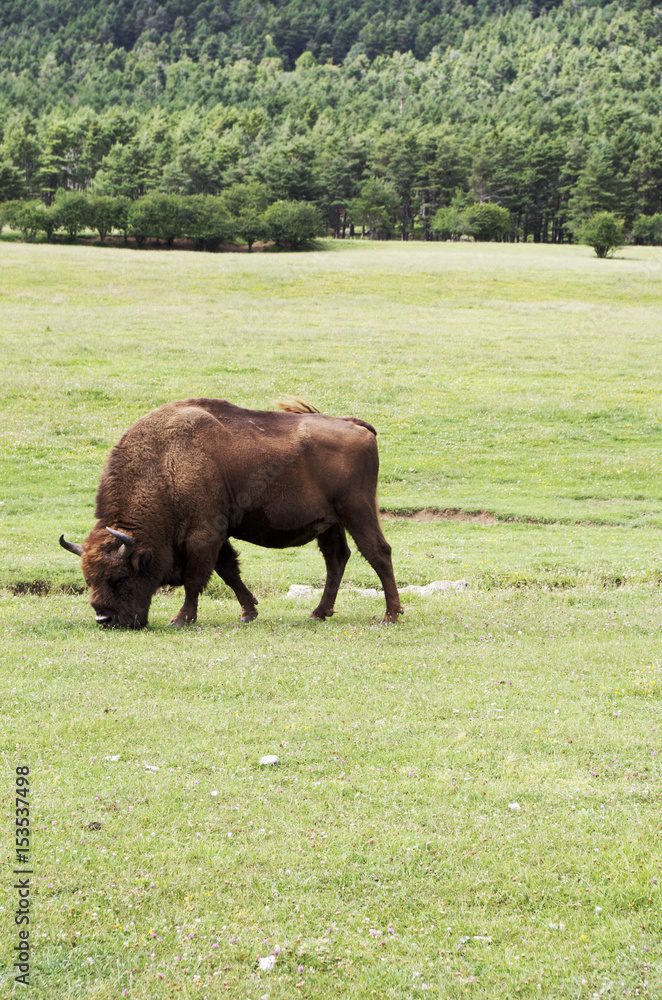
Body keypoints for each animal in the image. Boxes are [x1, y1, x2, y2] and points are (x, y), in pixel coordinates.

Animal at [61, 396, 404, 624]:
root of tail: (354, 424)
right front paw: (249, 612)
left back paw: (390, 615)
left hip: (357, 512)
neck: (166, 463)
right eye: (88, 580)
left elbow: (196, 578)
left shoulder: (203, 535)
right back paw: (319, 613)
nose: (105, 620)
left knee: (378, 552)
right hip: (330, 523)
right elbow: (229, 571)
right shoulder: (218, 534)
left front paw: (181, 618)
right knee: (337, 559)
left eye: (120, 578)